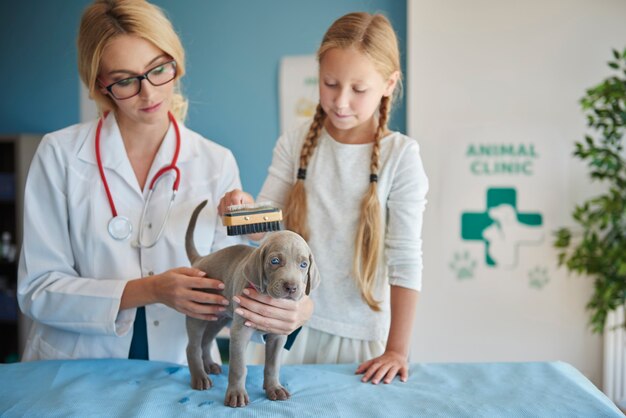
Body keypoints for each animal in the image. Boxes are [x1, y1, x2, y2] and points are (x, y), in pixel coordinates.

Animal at [180, 201, 316, 406]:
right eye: (275, 261)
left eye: (303, 264)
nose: (291, 287)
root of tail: (201, 259)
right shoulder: (240, 332)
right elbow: (238, 367)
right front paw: (236, 394)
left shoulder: (277, 336)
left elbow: (272, 365)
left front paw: (274, 388)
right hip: (198, 312)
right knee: (193, 346)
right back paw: (200, 377)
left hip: (218, 316)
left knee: (206, 341)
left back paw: (209, 365)